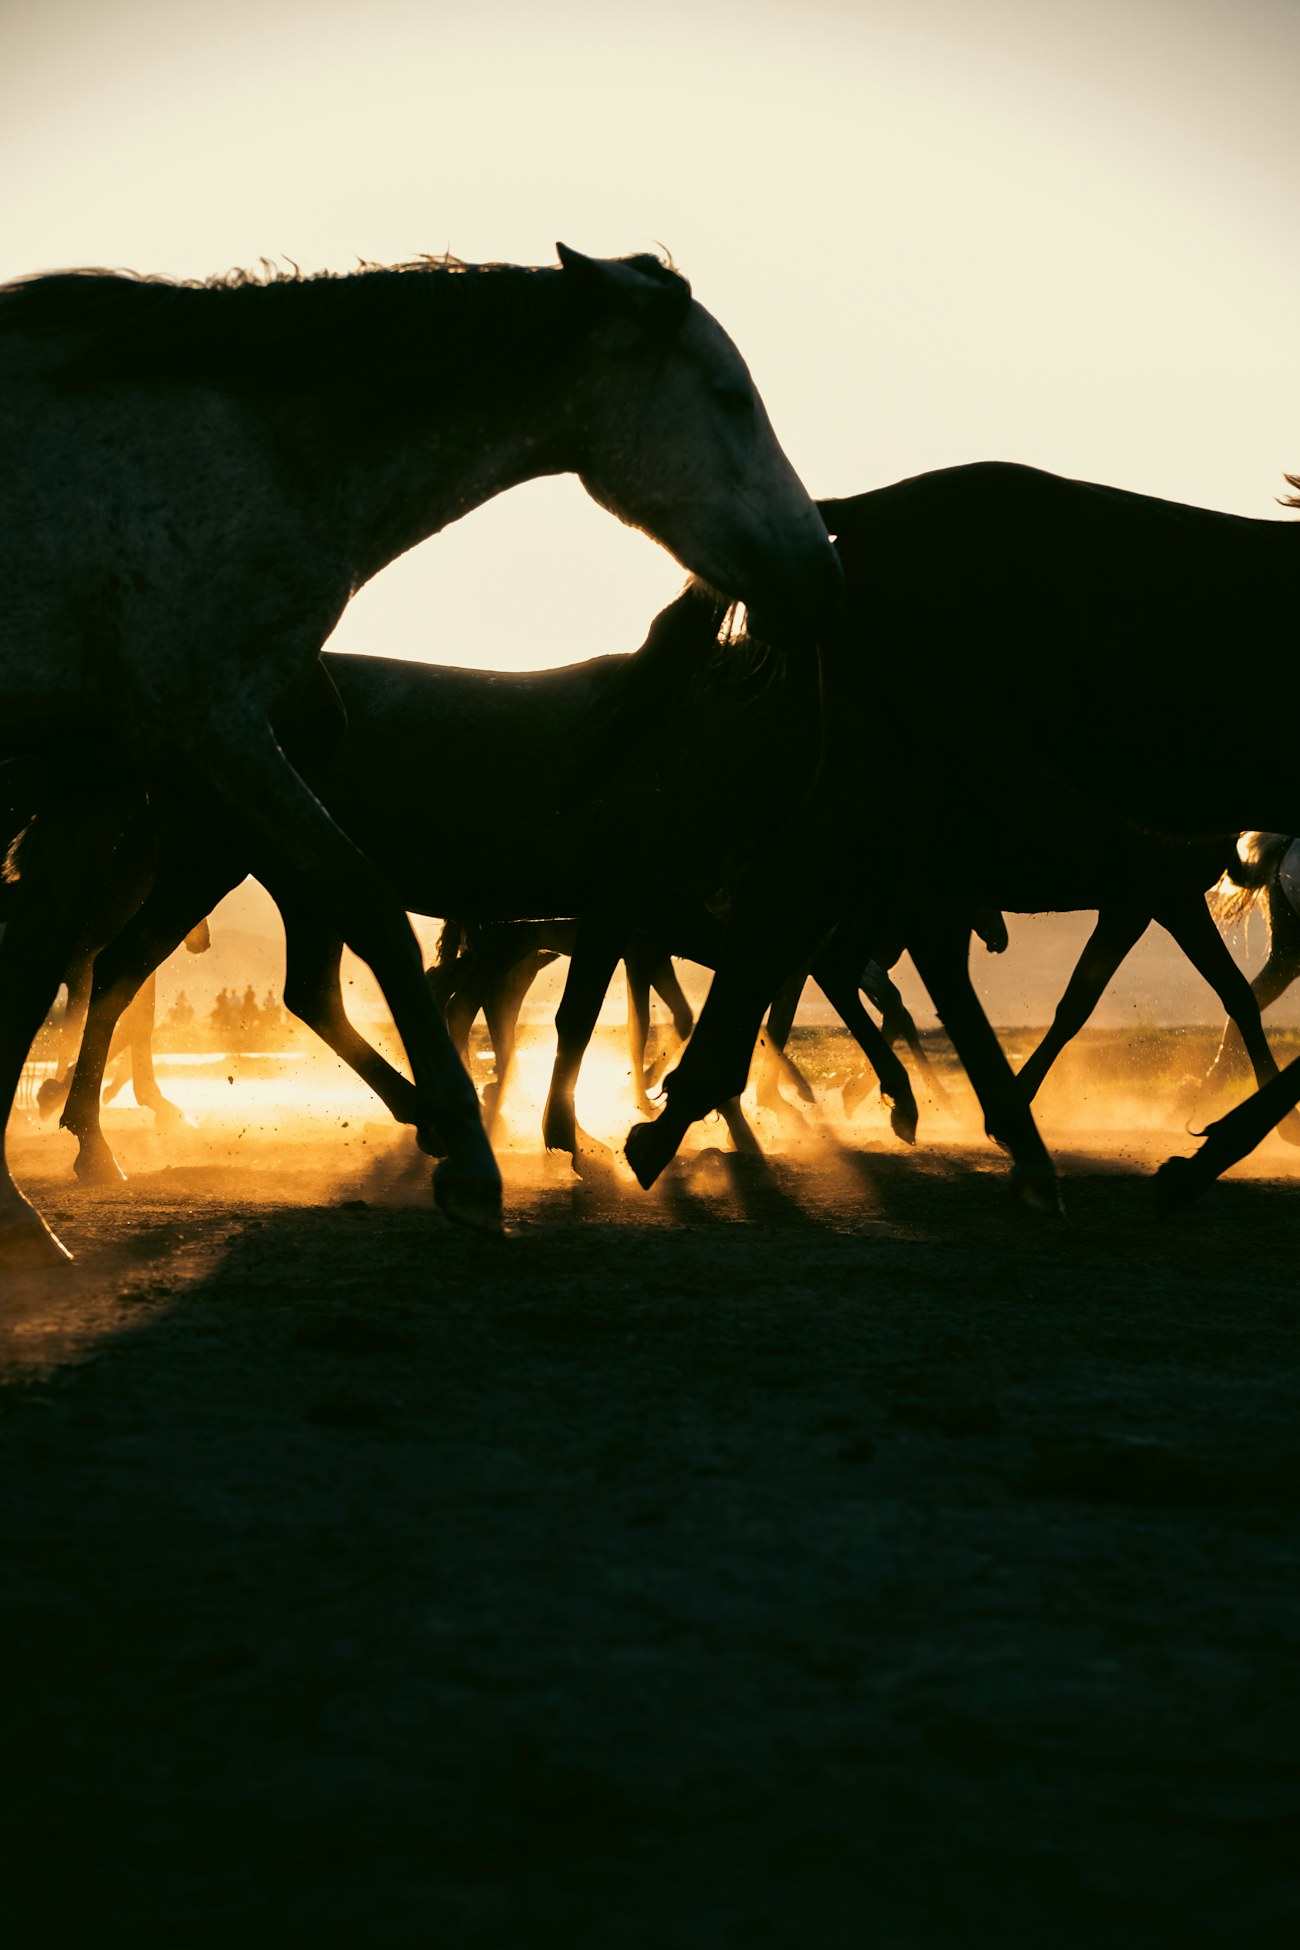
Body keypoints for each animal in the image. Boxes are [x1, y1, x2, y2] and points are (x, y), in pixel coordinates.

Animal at [0, 245, 840, 1263]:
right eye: (729, 396)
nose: (819, 569)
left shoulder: (100, 766)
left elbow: (30, 961)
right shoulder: (210, 724)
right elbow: (409, 926)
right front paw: (511, 1156)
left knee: (258, 983)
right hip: (210, 849)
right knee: (154, 969)